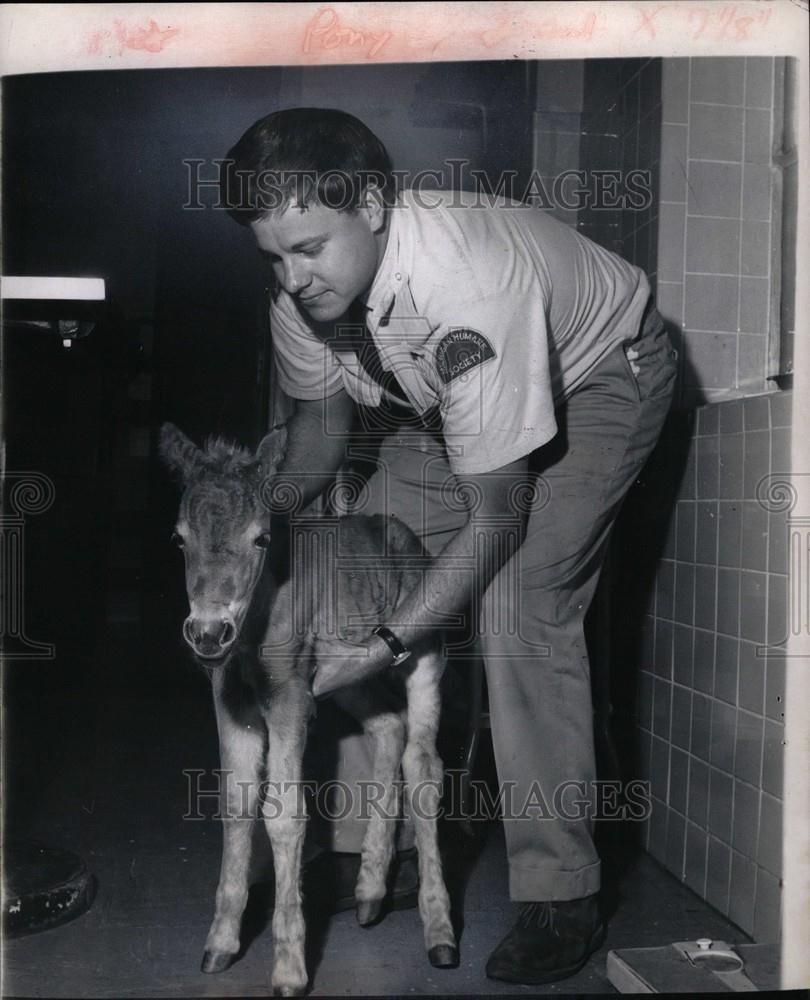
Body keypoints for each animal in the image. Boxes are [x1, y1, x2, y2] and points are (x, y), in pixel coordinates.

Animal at [158, 426, 454, 996]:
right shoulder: (231, 701)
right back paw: (369, 892)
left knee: (424, 764)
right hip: (353, 676)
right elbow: (237, 804)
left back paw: (440, 931)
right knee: (390, 726)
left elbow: (284, 814)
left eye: (261, 538)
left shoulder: (291, 697)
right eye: (180, 540)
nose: (207, 634)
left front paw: (290, 968)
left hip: (422, 649)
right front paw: (220, 944)